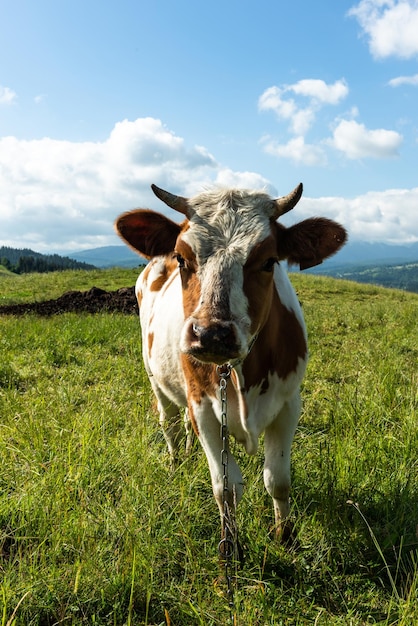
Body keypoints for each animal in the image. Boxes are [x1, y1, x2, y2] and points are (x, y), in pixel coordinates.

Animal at [114, 183, 346, 548]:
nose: (211, 335)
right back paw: (176, 463)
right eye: (182, 258)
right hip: (155, 376)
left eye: (269, 261)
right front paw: (231, 546)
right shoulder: (204, 408)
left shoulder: (289, 405)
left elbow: (278, 479)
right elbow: (226, 489)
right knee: (170, 422)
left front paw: (285, 536)